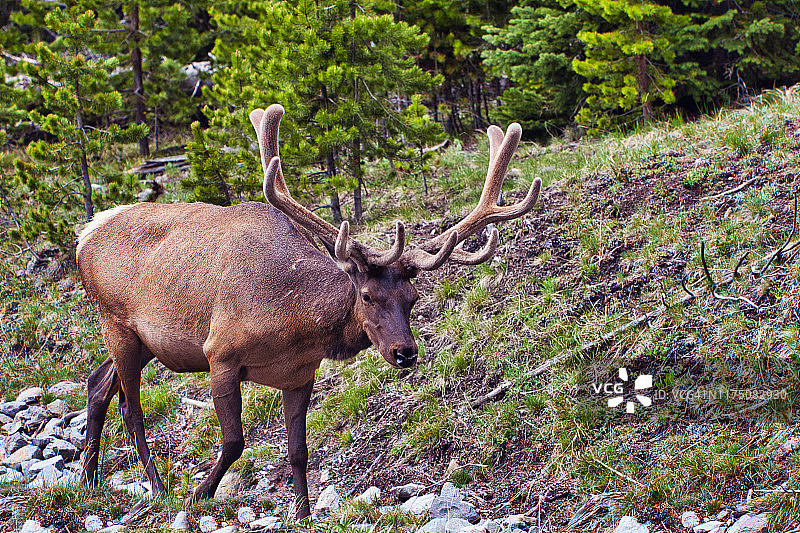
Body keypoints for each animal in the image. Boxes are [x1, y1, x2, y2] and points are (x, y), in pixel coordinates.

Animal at [76, 102, 536, 516]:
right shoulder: (219, 353)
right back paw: (158, 488)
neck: (293, 324)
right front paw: (198, 494)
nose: (405, 352)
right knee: (131, 409)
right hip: (116, 322)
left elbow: (299, 450)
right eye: (367, 295)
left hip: (142, 342)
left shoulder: (299, 375)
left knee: (97, 383)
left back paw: (89, 478)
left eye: (413, 298)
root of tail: (85, 233)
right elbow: (234, 441)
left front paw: (302, 514)